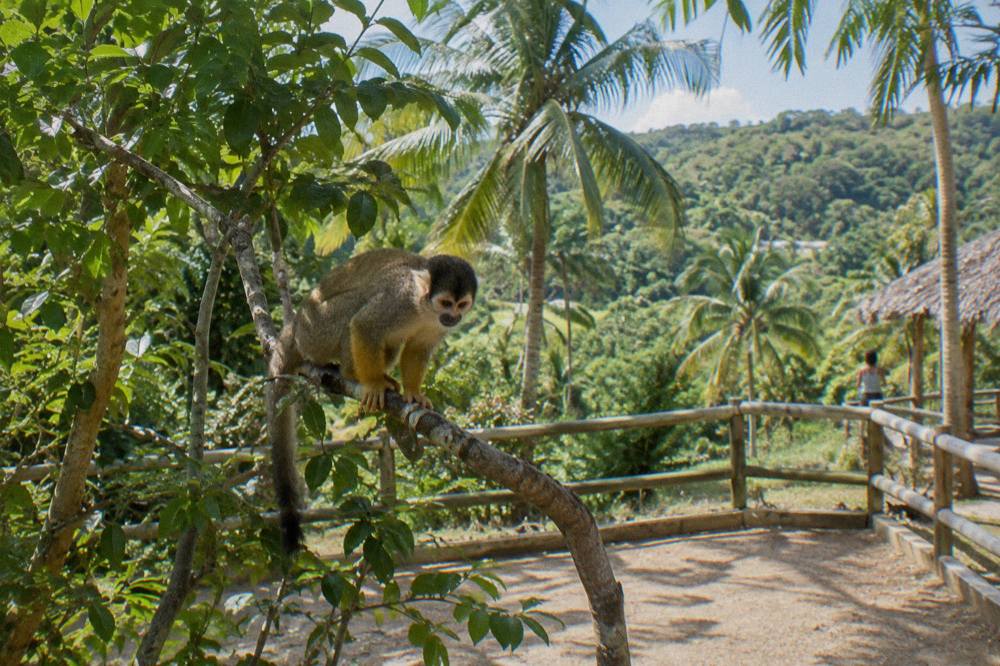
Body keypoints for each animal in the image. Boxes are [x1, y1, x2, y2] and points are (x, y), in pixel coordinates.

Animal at [267, 248, 477, 553]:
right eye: (446, 302)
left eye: (461, 305)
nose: (453, 317)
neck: (424, 308)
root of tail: (295, 324)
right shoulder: (397, 301)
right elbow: (365, 325)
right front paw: (374, 384)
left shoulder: (434, 327)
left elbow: (417, 348)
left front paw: (413, 392)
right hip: (316, 330)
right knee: (356, 308)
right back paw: (352, 373)